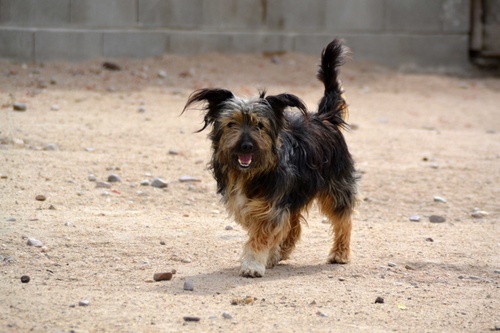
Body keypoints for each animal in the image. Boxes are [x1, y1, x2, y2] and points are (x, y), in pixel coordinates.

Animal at [184, 39, 360, 278]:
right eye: (232, 124)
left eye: (259, 125)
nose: (246, 146)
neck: (251, 173)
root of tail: (325, 117)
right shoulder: (257, 205)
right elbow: (273, 231)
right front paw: (267, 256)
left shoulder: (270, 208)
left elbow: (261, 235)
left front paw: (253, 264)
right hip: (295, 193)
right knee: (294, 227)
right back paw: (280, 253)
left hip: (336, 186)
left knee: (343, 220)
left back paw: (340, 253)